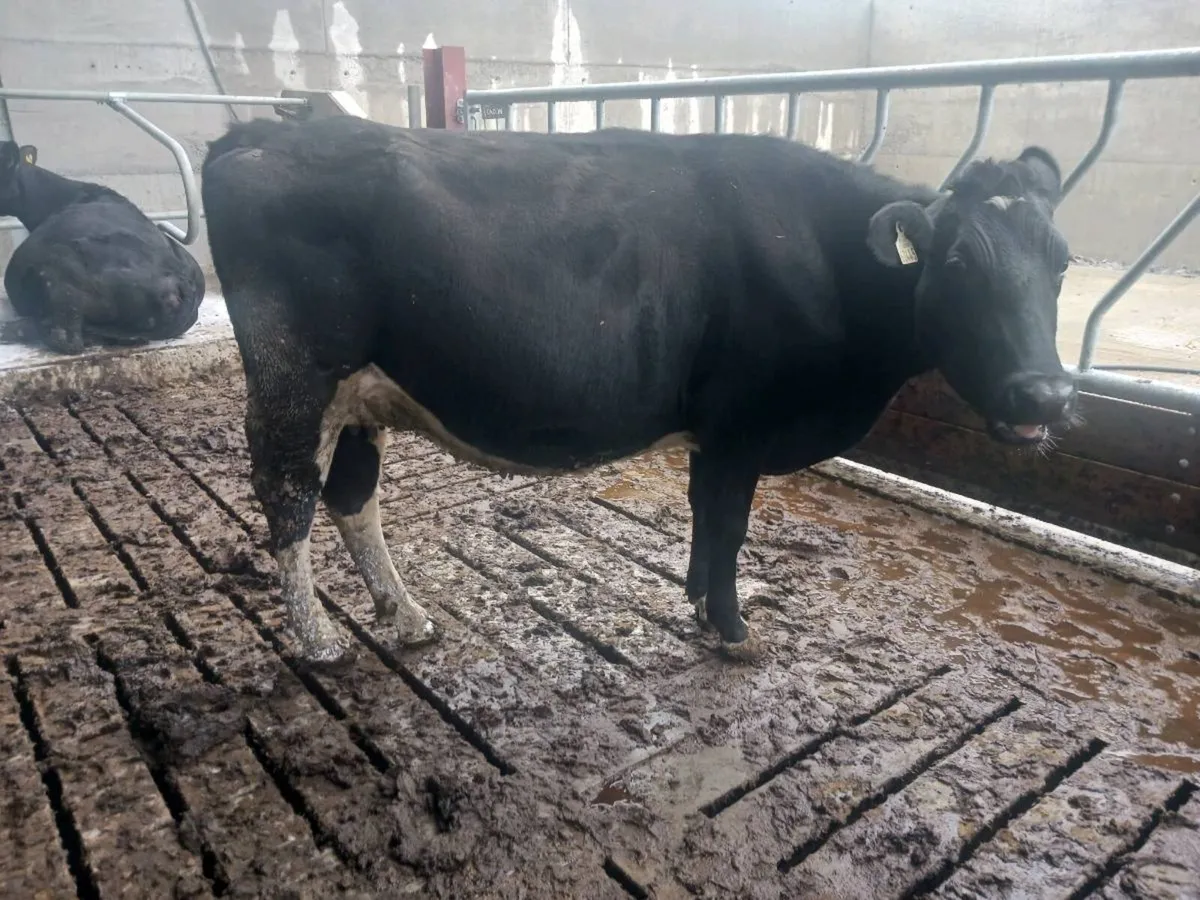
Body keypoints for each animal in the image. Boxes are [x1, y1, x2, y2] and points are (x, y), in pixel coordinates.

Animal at [200, 116, 1076, 664]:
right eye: (957, 264)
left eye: (1062, 259)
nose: (1045, 396)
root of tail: (260, 133)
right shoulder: (742, 426)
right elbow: (728, 527)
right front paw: (734, 631)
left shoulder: (714, 433)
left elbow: (704, 520)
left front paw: (697, 603)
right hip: (294, 380)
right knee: (289, 498)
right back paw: (320, 641)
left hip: (360, 396)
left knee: (352, 498)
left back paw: (407, 617)